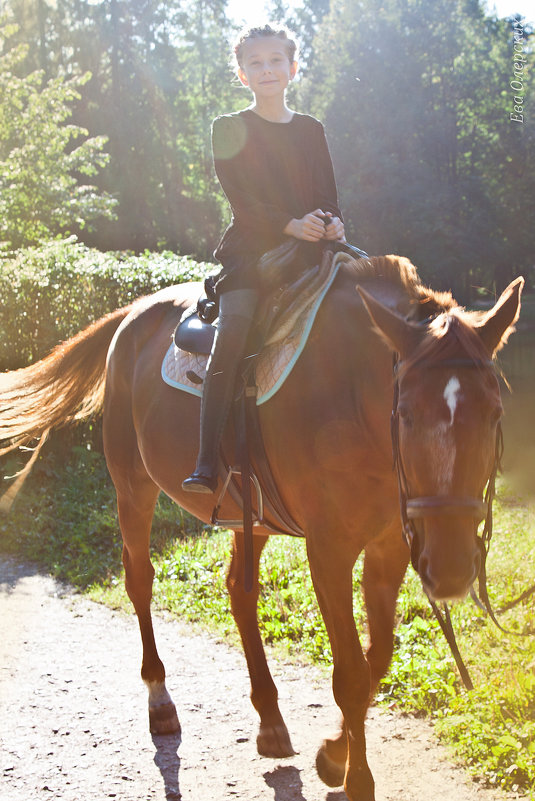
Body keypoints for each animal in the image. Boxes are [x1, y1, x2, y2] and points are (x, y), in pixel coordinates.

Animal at [0, 252, 524, 800]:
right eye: (405, 413)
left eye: (494, 413)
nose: (451, 569)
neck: (352, 394)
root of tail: (134, 313)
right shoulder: (329, 551)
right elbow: (350, 673)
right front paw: (355, 774)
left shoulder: (392, 547)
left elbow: (378, 657)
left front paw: (333, 753)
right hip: (132, 486)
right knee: (140, 580)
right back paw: (160, 700)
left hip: (248, 515)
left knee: (239, 591)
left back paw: (270, 718)